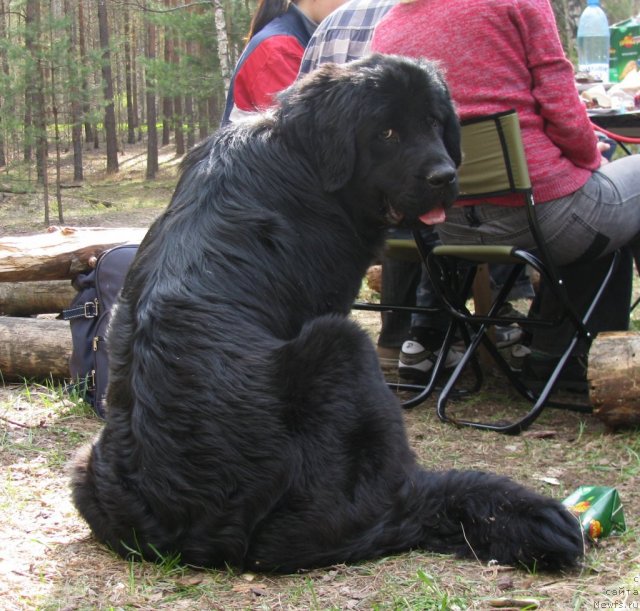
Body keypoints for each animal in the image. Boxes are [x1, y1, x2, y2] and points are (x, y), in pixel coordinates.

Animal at [71, 53, 584, 572]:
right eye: (387, 133)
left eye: (434, 122)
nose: (445, 177)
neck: (303, 160)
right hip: (341, 344)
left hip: (84, 468)